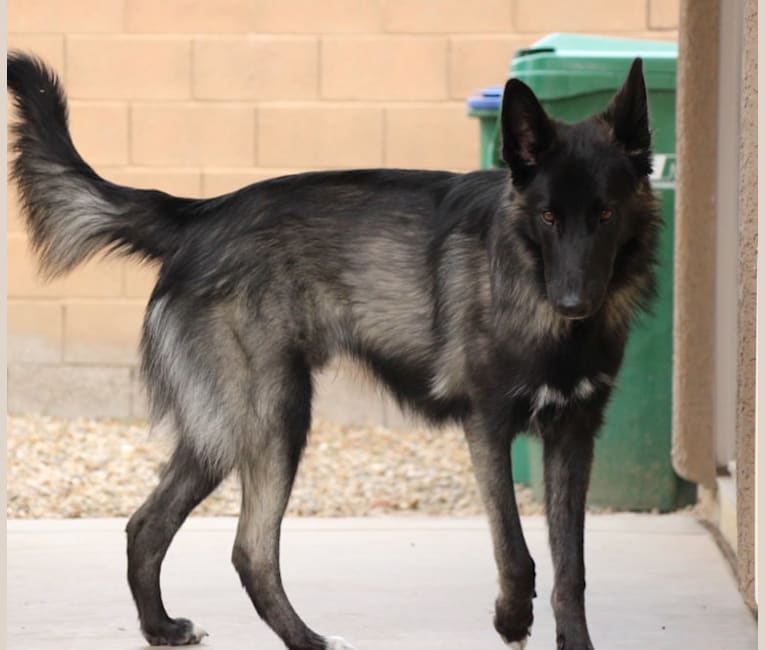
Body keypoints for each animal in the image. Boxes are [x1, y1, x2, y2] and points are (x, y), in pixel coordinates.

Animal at [7, 52, 660, 648]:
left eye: (605, 213)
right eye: (548, 216)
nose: (574, 301)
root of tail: (199, 216)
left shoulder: (573, 435)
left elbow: (571, 568)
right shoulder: (488, 427)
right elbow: (516, 549)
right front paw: (511, 619)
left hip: (224, 430)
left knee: (147, 525)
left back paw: (163, 628)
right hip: (273, 417)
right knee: (250, 550)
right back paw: (308, 640)